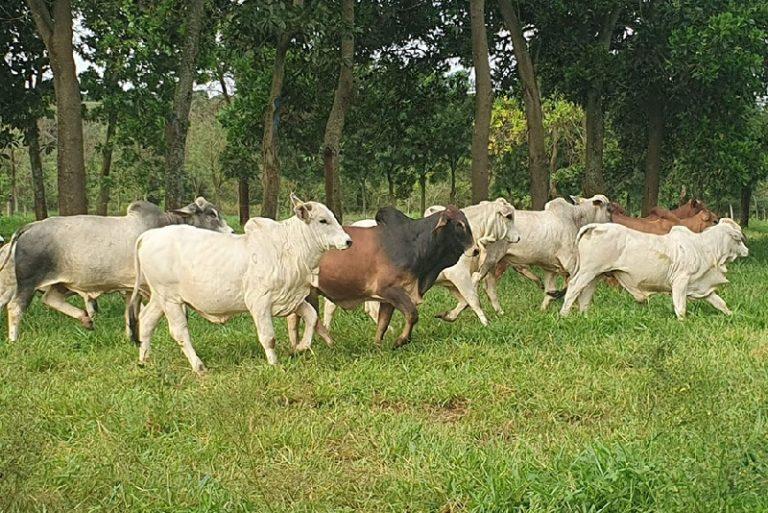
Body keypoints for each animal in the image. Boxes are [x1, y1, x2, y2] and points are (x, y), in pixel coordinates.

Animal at [6, 194, 230, 338]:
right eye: (212, 214)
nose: (231, 231)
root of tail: (29, 226)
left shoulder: (131, 288)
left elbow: (131, 314)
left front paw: (131, 337)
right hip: (28, 282)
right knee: (15, 308)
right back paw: (14, 340)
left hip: (61, 282)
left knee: (50, 299)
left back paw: (86, 319)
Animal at [128, 195, 352, 372]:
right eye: (323, 220)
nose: (348, 241)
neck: (288, 247)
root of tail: (148, 236)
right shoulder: (259, 302)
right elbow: (268, 337)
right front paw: (274, 364)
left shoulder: (292, 299)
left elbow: (312, 316)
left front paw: (301, 347)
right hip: (171, 299)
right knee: (179, 332)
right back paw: (199, 367)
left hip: (160, 298)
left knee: (146, 321)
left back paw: (144, 360)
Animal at [324, 198, 520, 326]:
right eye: (509, 216)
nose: (518, 238)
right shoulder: (459, 275)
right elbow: (473, 299)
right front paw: (486, 323)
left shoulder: (450, 282)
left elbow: (463, 301)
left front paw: (448, 315)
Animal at [560, 216, 752, 316]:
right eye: (738, 239)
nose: (747, 250)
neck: (705, 248)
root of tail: (596, 226)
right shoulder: (680, 281)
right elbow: (680, 307)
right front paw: (682, 322)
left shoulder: (701, 285)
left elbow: (720, 303)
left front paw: (731, 315)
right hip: (588, 271)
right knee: (574, 287)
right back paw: (564, 314)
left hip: (595, 274)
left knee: (585, 293)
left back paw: (584, 315)